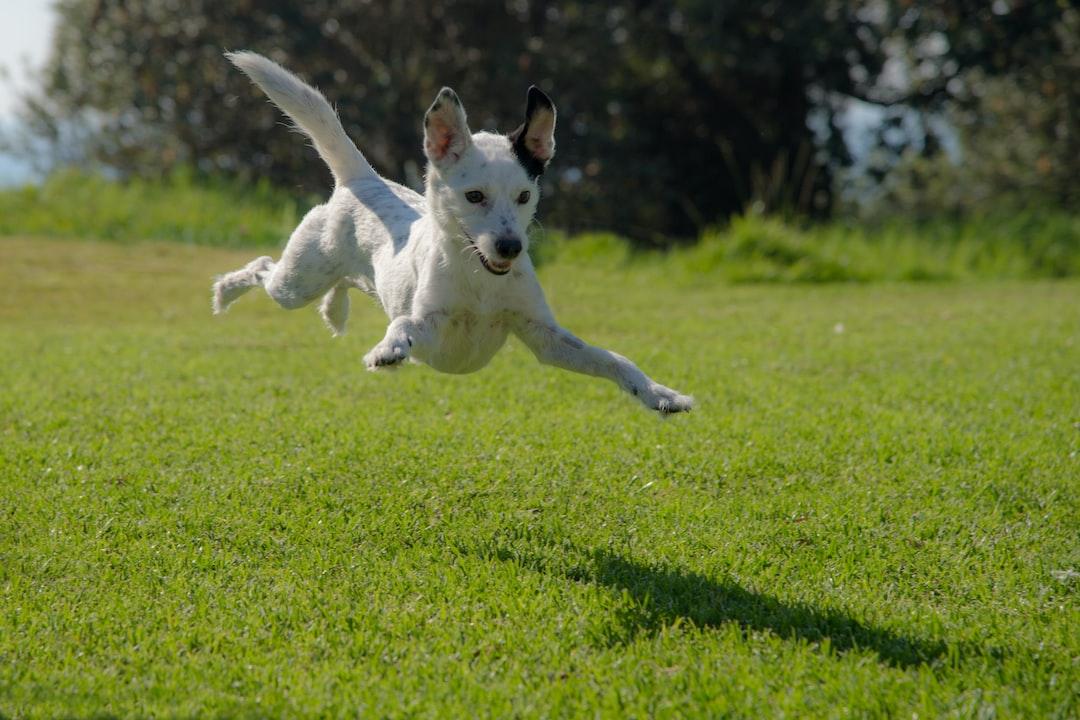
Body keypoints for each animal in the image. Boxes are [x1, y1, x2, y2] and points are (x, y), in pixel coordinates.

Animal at [212, 52, 691, 416]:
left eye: (524, 195)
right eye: (474, 196)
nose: (510, 247)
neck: (480, 282)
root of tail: (362, 179)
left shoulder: (545, 337)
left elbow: (614, 359)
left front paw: (659, 394)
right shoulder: (432, 326)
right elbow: (404, 323)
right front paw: (388, 349)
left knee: (342, 283)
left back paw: (334, 310)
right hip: (296, 282)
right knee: (263, 268)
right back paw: (226, 292)